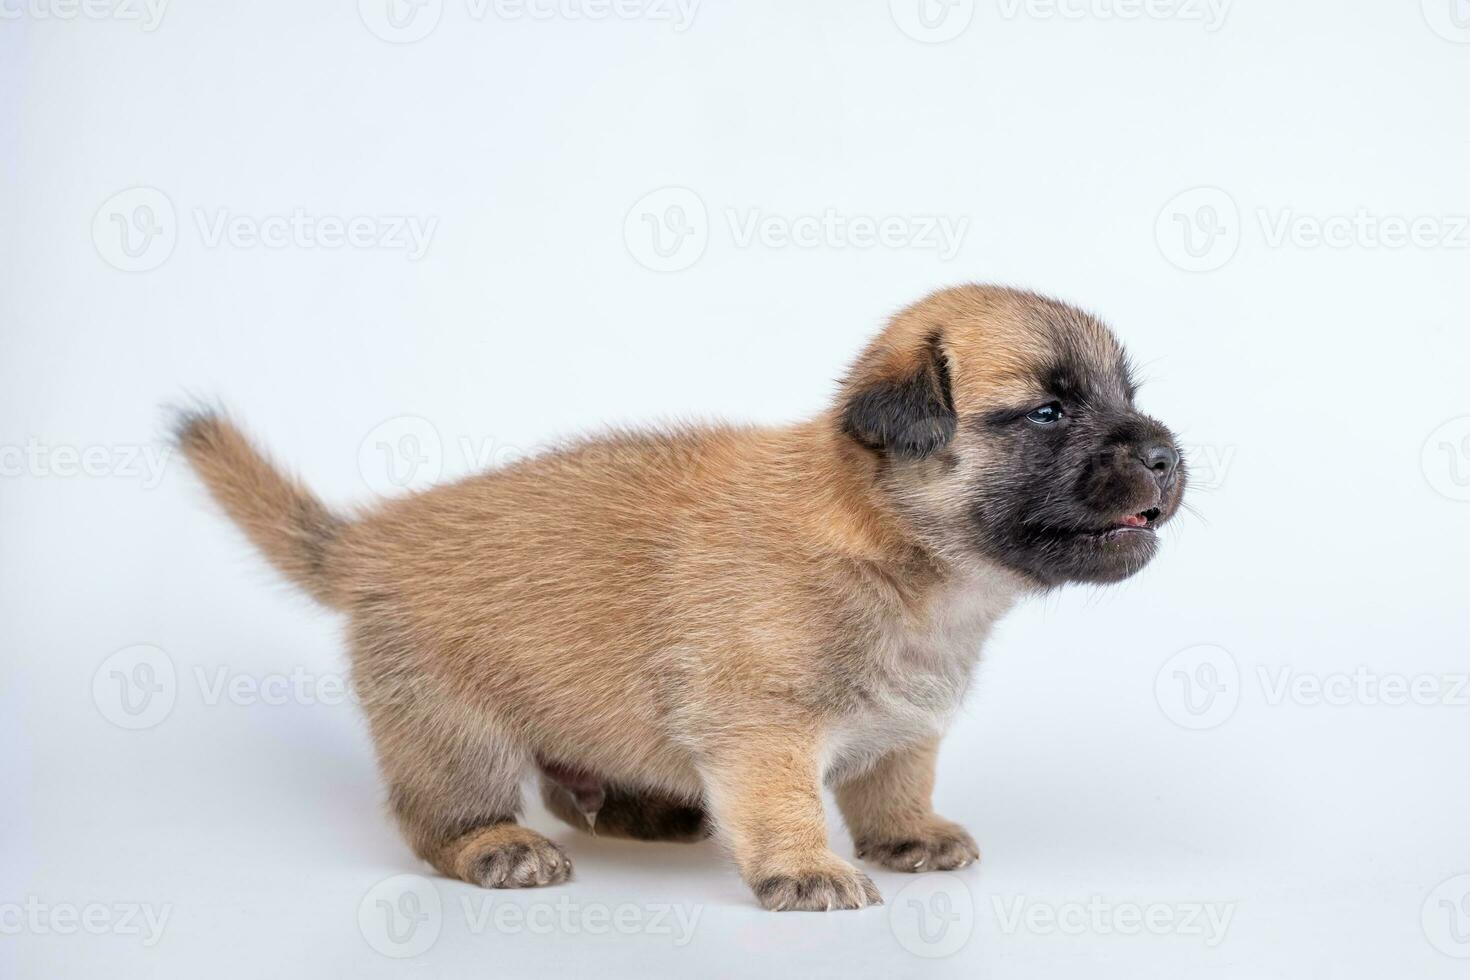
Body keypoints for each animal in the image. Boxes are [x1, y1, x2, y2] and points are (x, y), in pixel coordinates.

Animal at [174, 283, 1181, 910]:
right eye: (1048, 412)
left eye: (1125, 397)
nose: (1167, 453)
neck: (896, 550)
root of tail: (371, 539)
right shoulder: (764, 732)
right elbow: (785, 803)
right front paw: (805, 869)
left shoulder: (908, 726)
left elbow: (895, 782)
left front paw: (909, 836)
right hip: (453, 733)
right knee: (439, 817)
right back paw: (494, 846)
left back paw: (638, 807)